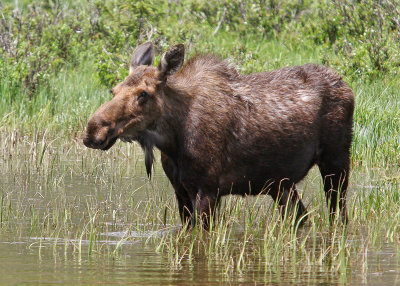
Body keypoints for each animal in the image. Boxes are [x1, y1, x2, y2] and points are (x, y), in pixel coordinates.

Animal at [83, 42, 354, 230]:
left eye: (143, 94)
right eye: (114, 90)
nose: (93, 130)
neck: (172, 140)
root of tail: (346, 85)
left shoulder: (208, 188)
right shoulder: (180, 190)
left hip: (336, 161)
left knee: (338, 215)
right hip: (280, 183)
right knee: (302, 217)